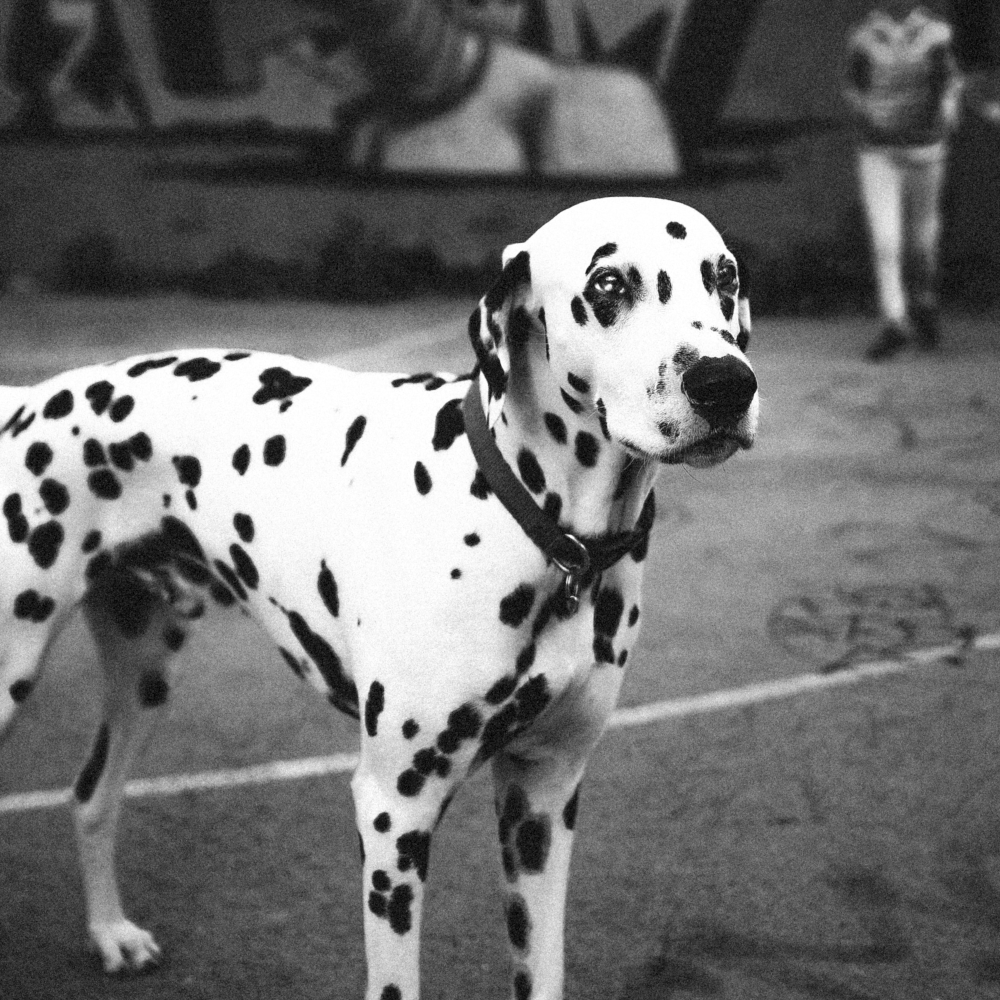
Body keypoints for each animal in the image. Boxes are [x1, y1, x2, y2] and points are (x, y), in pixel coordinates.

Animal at [0, 197, 756, 1000]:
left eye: (724, 278)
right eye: (609, 284)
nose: (727, 384)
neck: (537, 524)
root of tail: (33, 400)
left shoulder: (543, 799)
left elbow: (542, 967)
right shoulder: (395, 810)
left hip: (144, 675)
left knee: (92, 795)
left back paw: (110, 932)